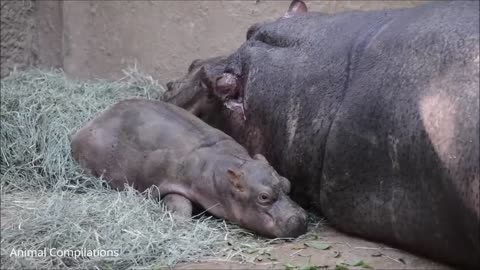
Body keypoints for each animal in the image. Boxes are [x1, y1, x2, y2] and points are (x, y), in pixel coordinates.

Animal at [70, 99, 308, 238]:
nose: (301, 219)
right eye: (263, 197)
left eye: (287, 184)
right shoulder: (170, 181)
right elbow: (180, 204)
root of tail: (92, 121)